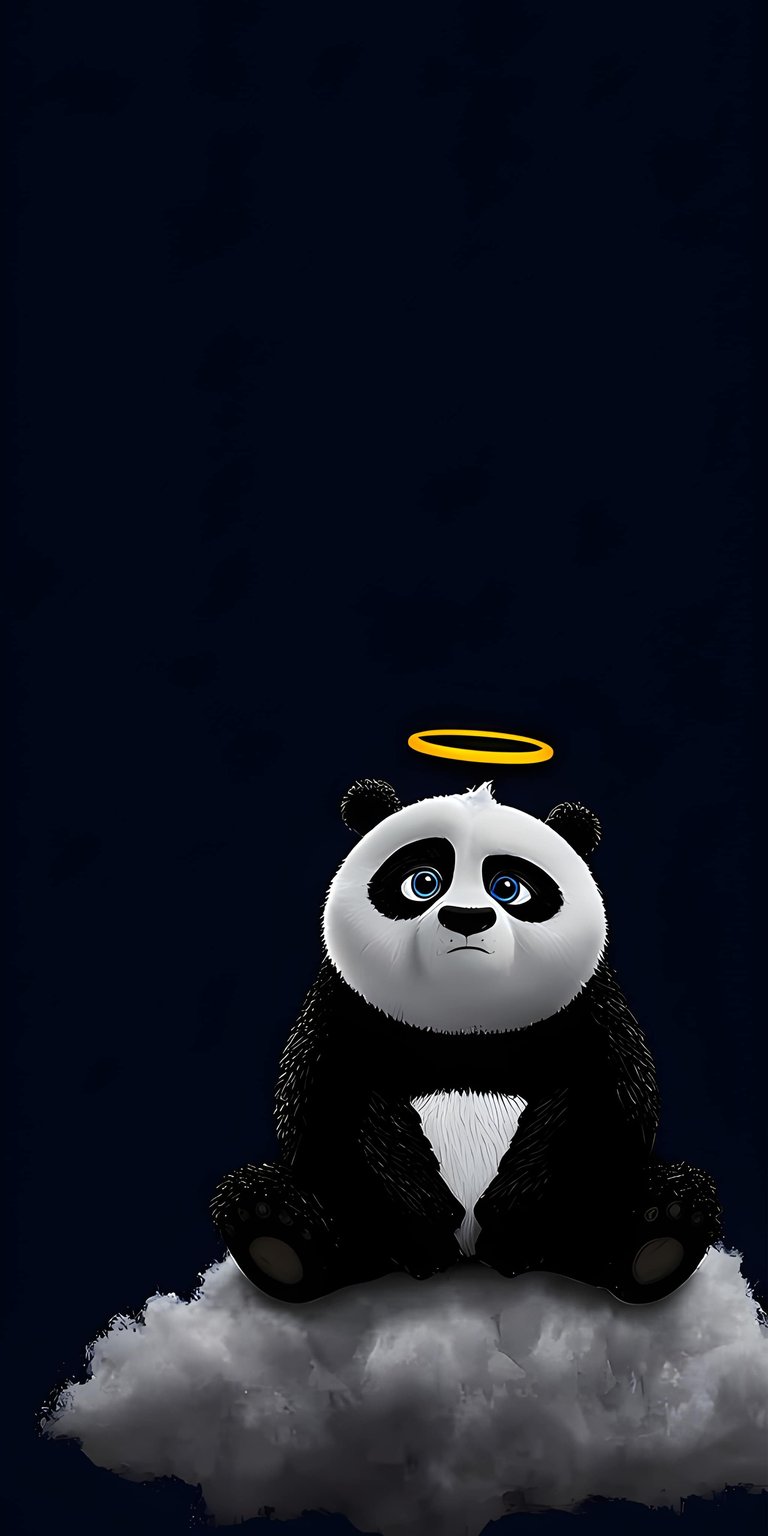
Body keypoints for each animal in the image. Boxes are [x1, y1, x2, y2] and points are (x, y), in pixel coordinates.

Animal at [211, 778, 721, 1306]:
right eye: (423, 882)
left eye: (509, 887)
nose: (466, 919)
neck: (465, 1028)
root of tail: (467, 1254)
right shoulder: (343, 1010)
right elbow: (328, 1115)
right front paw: (424, 1232)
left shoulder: (592, 1010)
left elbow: (607, 1111)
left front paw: (511, 1229)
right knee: (281, 1200)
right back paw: (277, 1234)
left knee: (645, 1201)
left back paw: (660, 1236)